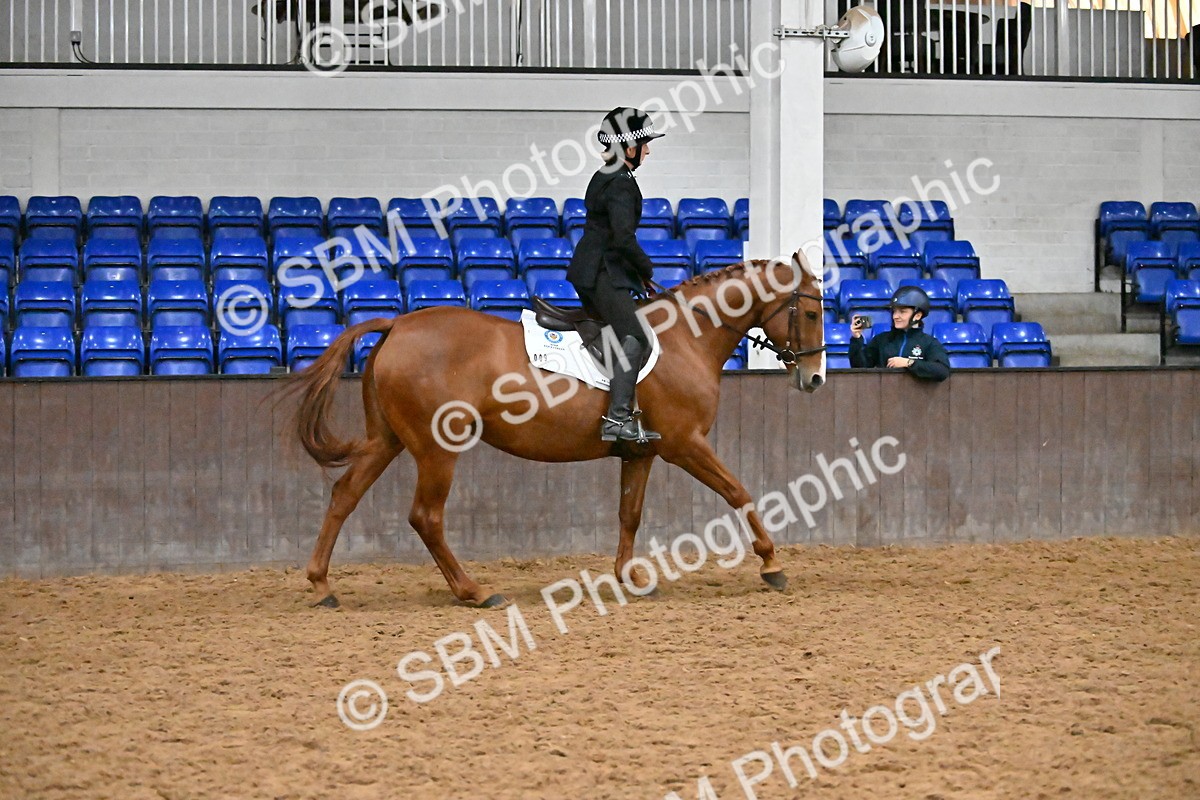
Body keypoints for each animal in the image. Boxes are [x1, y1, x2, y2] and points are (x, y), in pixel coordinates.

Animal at [287, 251, 826, 608]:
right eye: (813, 312)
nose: (814, 378)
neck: (684, 338)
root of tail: (397, 325)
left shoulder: (642, 453)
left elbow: (629, 514)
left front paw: (628, 578)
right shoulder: (685, 445)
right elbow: (740, 492)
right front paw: (772, 565)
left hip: (388, 439)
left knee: (344, 495)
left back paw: (321, 585)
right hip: (437, 447)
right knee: (426, 517)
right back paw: (475, 591)